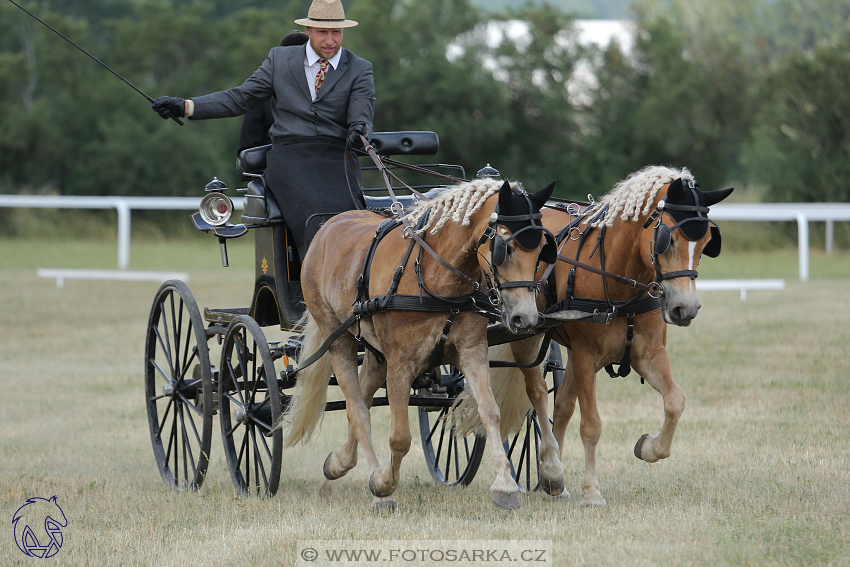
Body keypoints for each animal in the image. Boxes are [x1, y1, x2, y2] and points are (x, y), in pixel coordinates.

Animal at [282, 178, 552, 510]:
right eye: (506, 247)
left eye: (541, 250)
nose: (525, 317)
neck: (434, 275)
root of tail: (329, 225)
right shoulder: (401, 363)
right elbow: (400, 438)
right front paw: (384, 485)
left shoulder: (471, 351)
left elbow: (491, 411)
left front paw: (505, 487)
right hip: (338, 339)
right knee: (357, 410)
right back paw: (375, 483)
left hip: (375, 354)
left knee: (362, 398)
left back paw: (338, 465)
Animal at [448, 166, 732, 508]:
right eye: (669, 239)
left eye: (706, 242)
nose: (686, 309)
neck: (618, 277)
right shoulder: (585, 355)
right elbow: (591, 425)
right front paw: (592, 492)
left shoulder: (648, 354)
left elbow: (675, 401)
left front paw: (648, 447)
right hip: (526, 333)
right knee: (538, 395)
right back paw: (552, 467)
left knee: (562, 406)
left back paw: (553, 479)